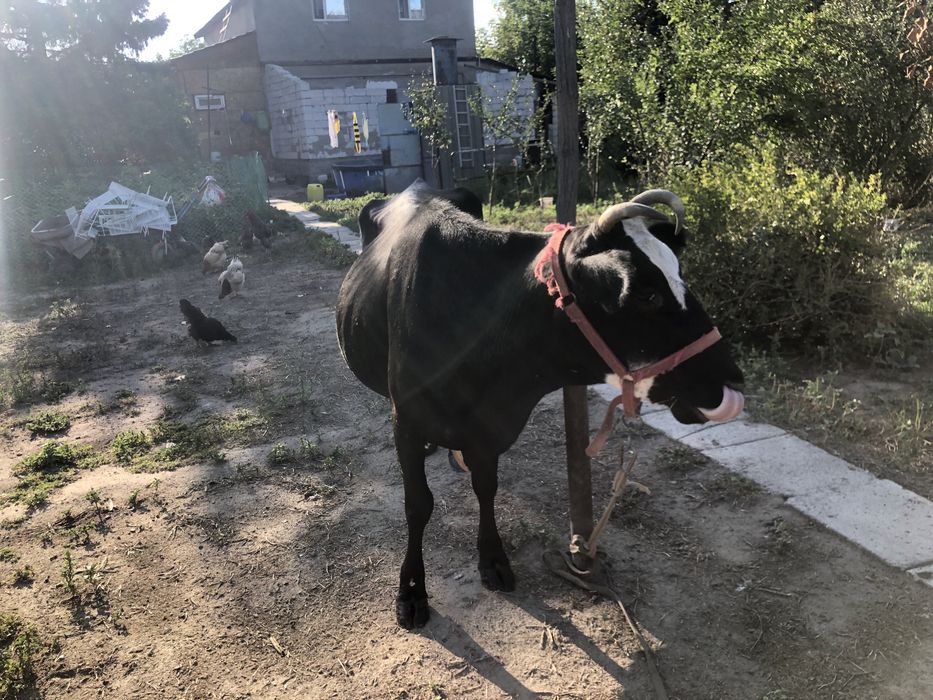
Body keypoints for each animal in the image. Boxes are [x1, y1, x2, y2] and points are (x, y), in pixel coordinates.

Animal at [335, 181, 745, 629]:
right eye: (646, 293)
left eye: (680, 275)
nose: (733, 381)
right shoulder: (406, 420)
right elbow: (417, 504)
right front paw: (410, 591)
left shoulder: (488, 426)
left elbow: (486, 487)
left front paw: (493, 559)